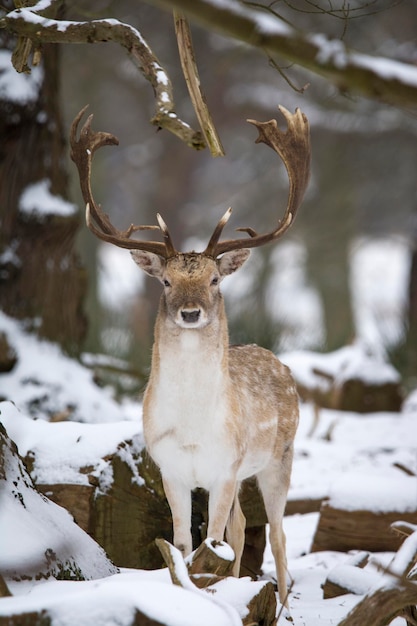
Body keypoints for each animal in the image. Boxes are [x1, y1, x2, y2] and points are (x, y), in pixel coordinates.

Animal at [70, 103, 308, 604]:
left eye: (215, 280)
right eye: (165, 281)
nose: (191, 312)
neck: (195, 430)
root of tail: (278, 360)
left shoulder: (225, 467)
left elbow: (211, 541)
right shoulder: (171, 469)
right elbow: (183, 545)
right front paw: (189, 591)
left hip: (280, 457)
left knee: (276, 533)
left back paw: (281, 600)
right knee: (243, 524)